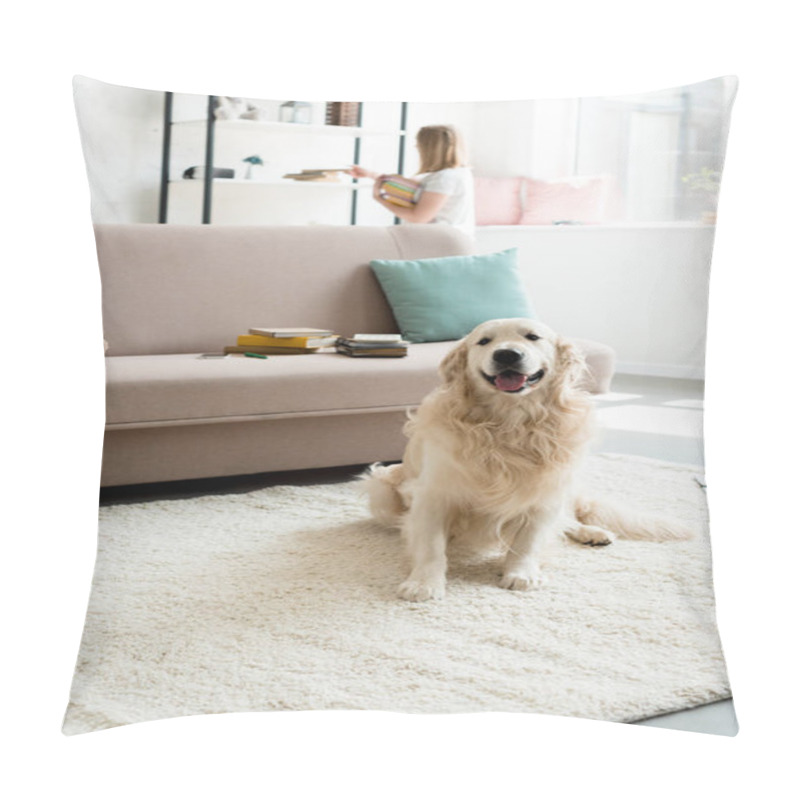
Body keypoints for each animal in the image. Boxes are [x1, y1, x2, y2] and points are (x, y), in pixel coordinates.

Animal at [366, 318, 692, 600]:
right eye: (484, 341)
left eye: (532, 337)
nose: (507, 354)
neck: (509, 424)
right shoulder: (433, 493)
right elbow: (431, 545)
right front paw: (424, 583)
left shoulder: (544, 490)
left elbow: (530, 540)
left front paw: (520, 573)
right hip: (380, 487)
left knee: (564, 522)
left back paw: (593, 532)